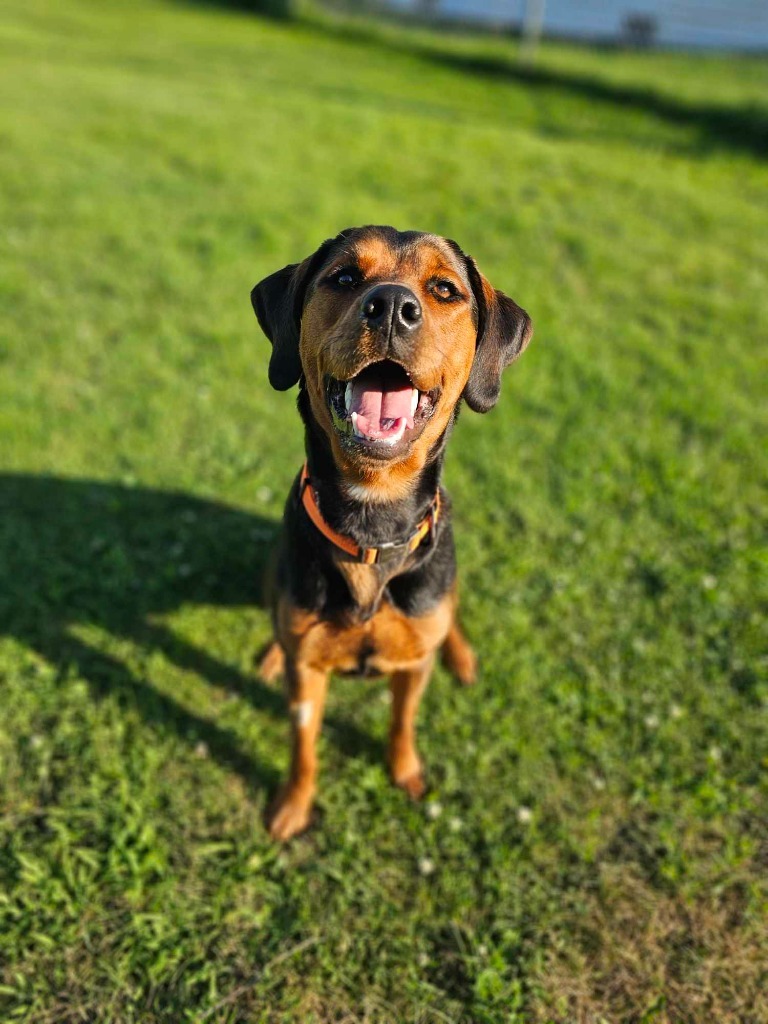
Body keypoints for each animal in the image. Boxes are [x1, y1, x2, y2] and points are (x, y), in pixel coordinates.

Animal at [252, 226, 536, 839]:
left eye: (444, 290)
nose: (389, 307)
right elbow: (303, 745)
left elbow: (403, 721)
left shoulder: (411, 665)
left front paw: (405, 772)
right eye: (343, 277)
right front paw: (292, 806)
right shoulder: (307, 674)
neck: (373, 521)